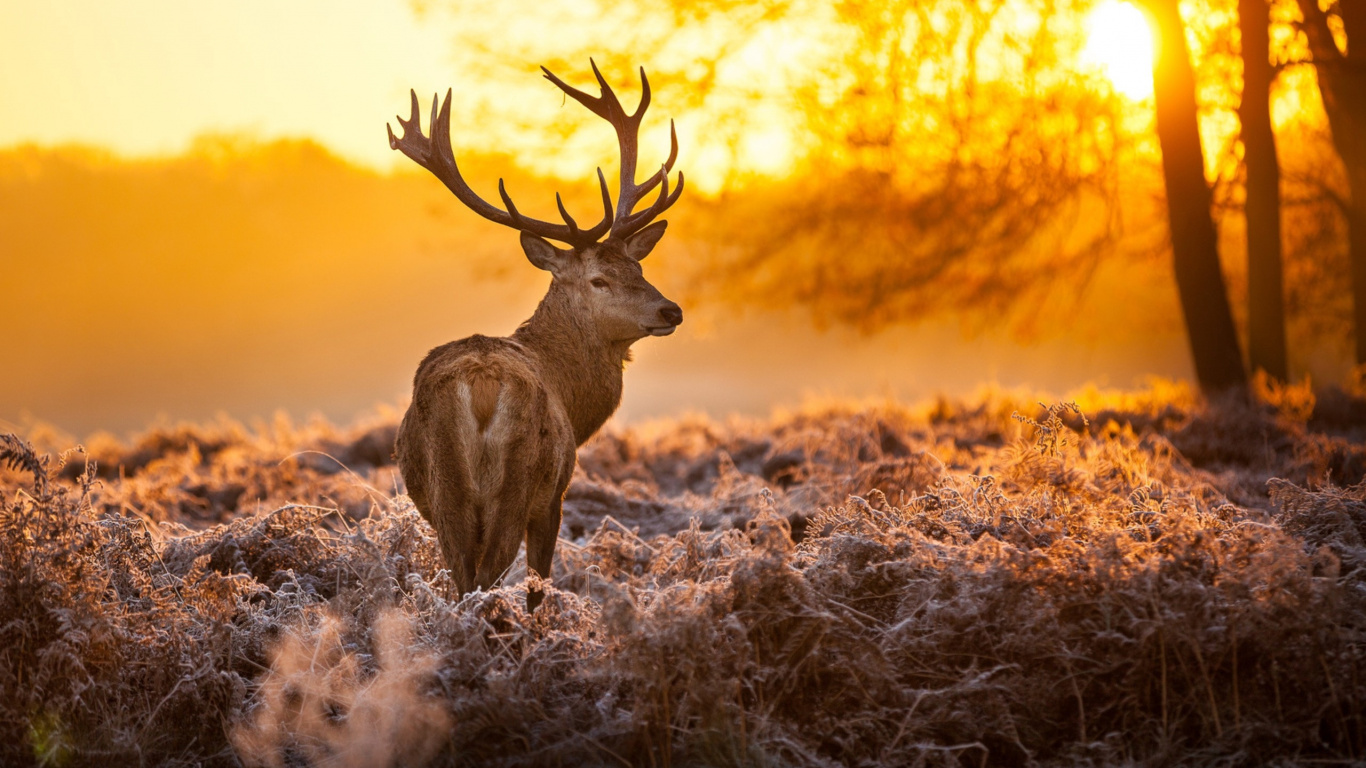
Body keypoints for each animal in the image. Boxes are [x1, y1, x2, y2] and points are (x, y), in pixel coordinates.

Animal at [387, 62, 684, 611]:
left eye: (638, 267)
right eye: (599, 279)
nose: (670, 309)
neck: (572, 395)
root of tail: (481, 386)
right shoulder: (555, 495)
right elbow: (538, 586)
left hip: (445, 491)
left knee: (463, 578)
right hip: (518, 482)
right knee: (487, 578)